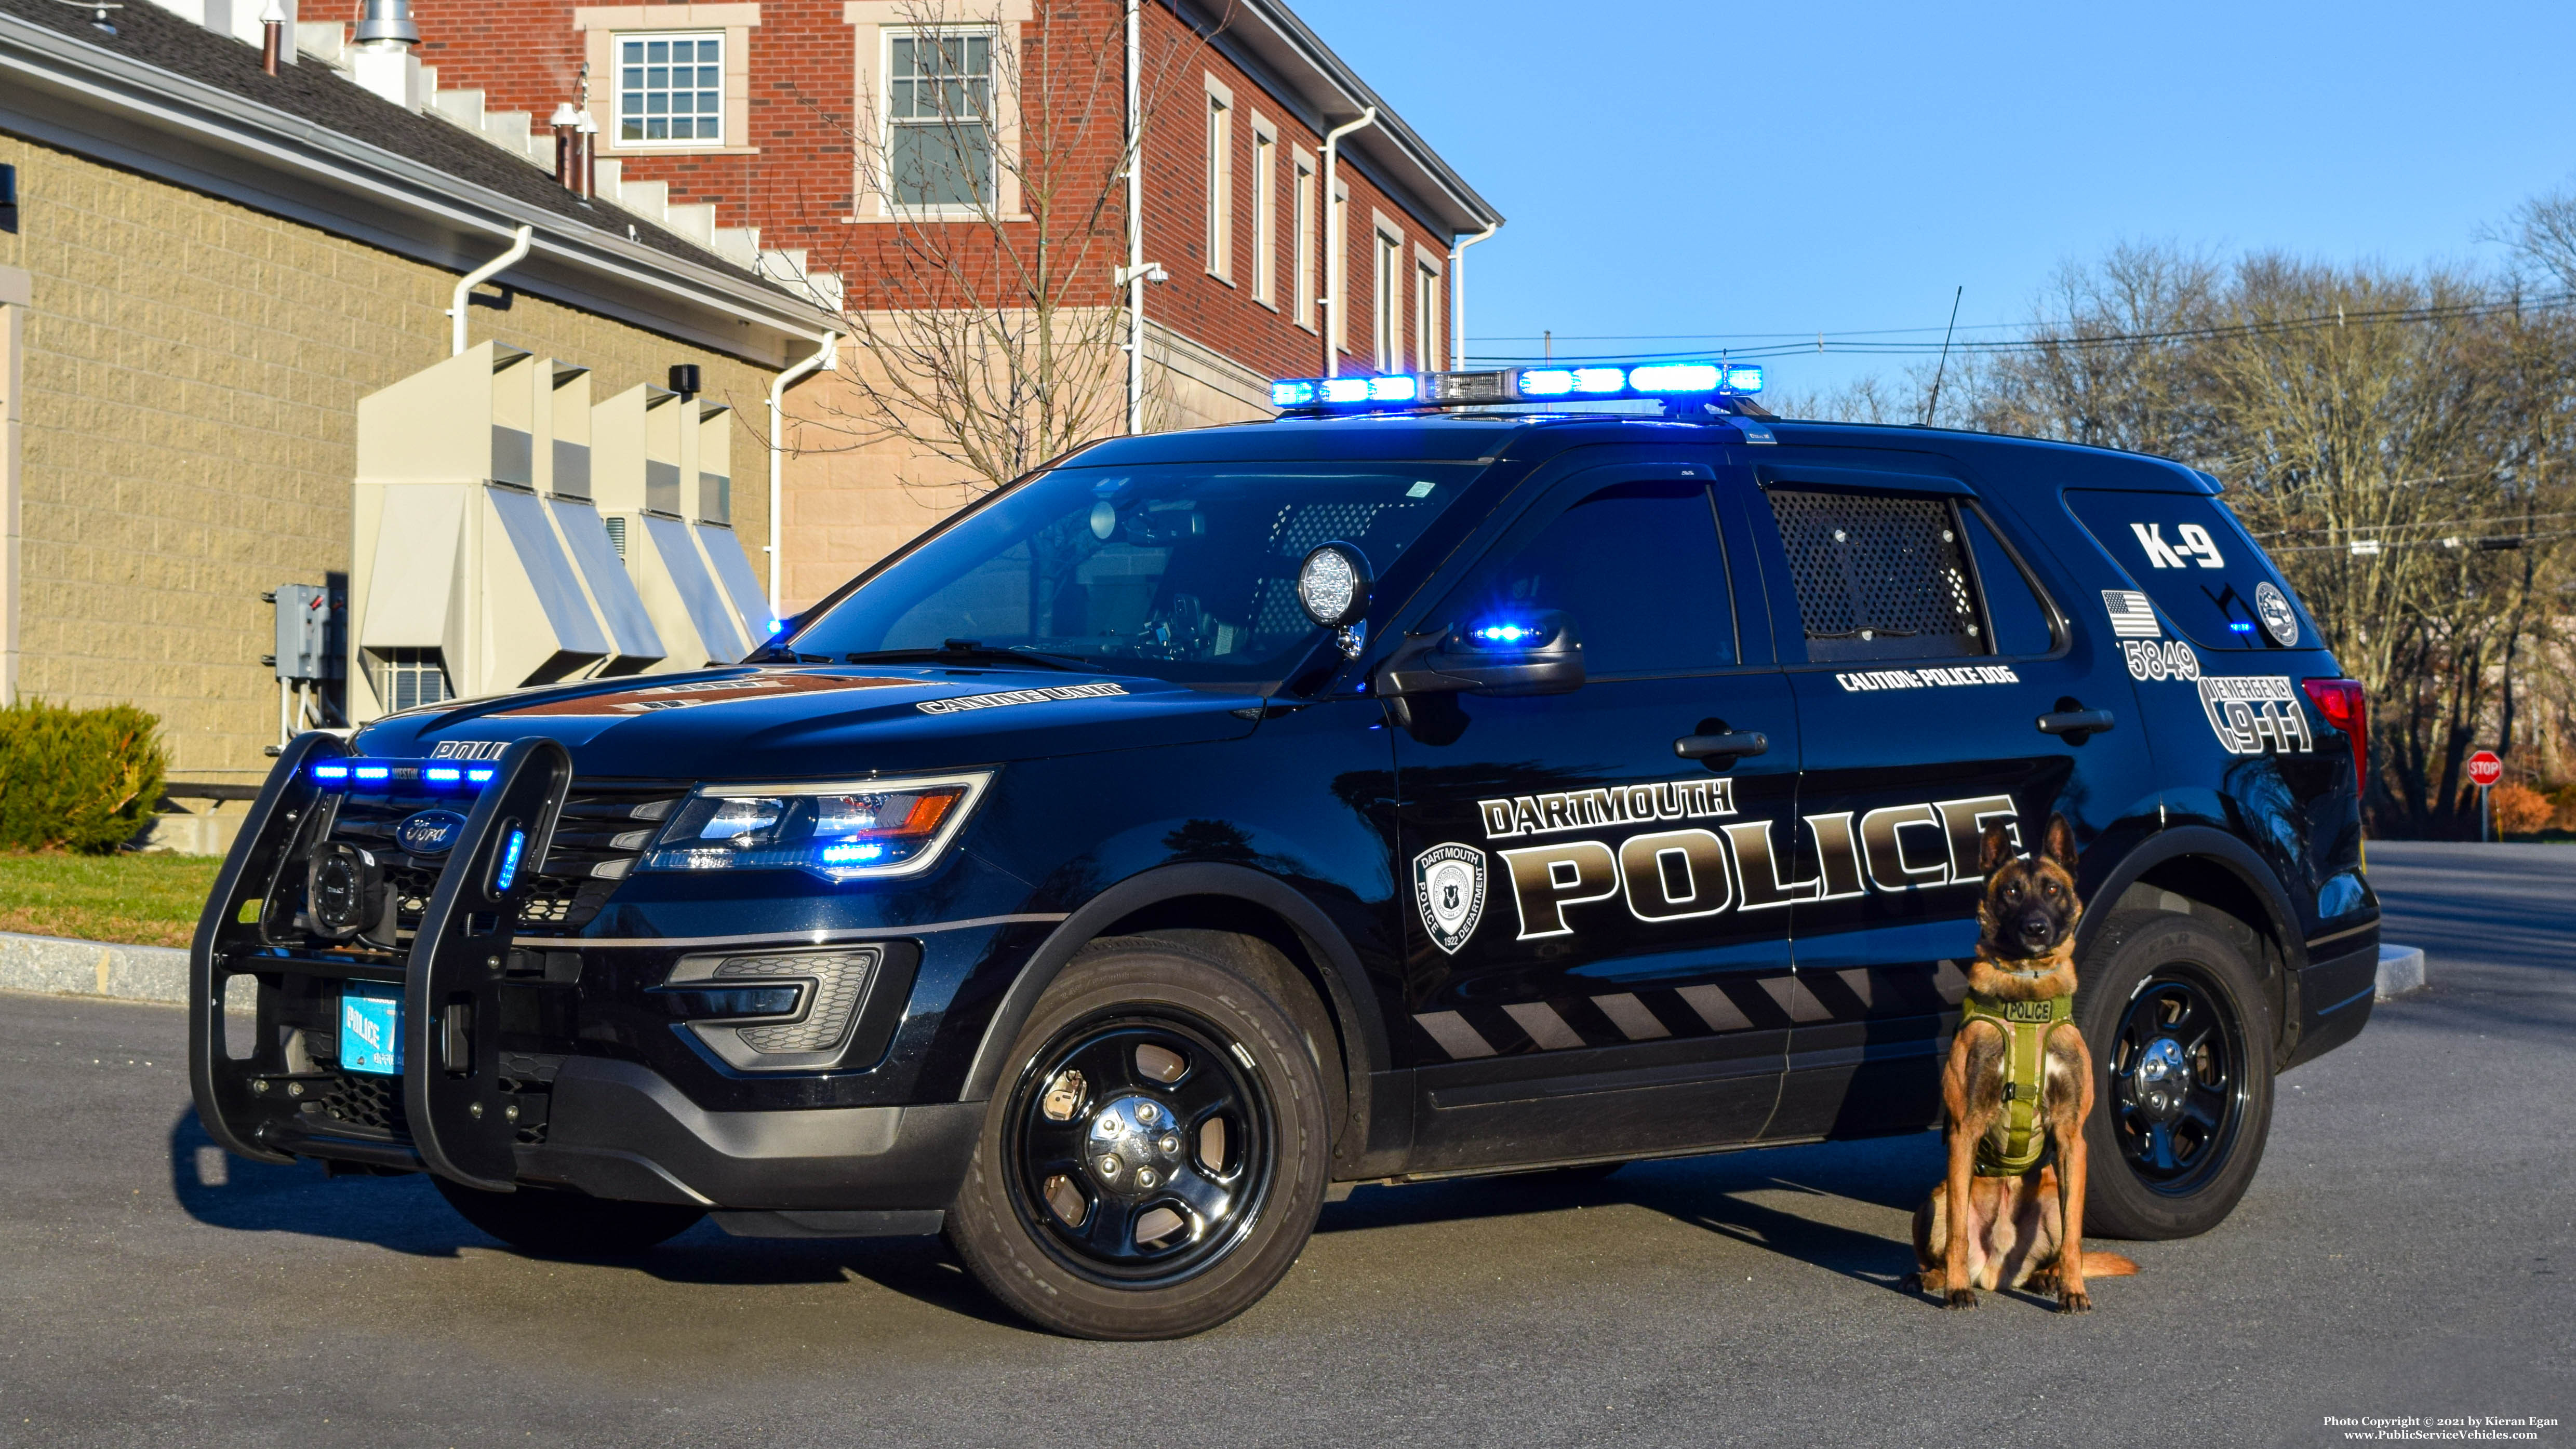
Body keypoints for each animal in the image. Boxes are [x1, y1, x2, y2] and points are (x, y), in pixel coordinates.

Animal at [1906, 818, 2143, 1318]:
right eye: (2012, 891)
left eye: (2052, 889)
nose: (2036, 928)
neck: (2027, 998)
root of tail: (1997, 1271)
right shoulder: (1964, 1131)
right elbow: (1956, 1234)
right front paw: (1956, 1289)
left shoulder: (2072, 1138)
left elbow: (2074, 1238)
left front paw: (2073, 1289)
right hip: (1934, 1200)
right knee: (1945, 1240)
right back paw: (1934, 1279)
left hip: (2051, 1195)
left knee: (2057, 1243)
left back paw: (2048, 1278)